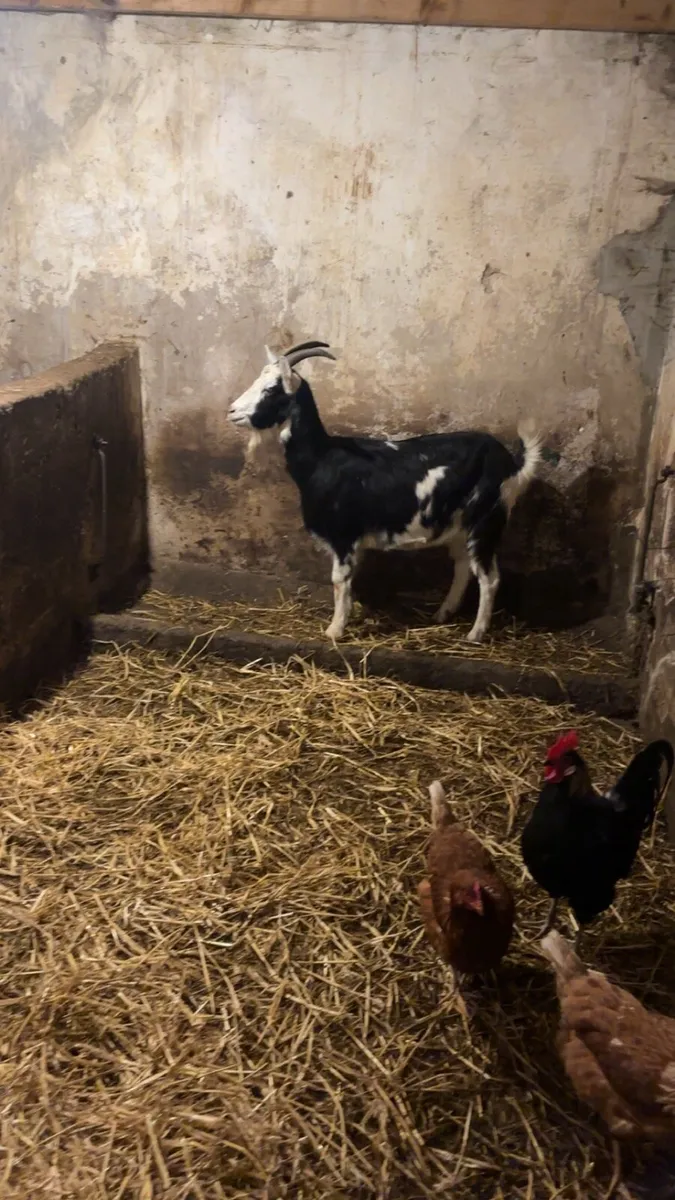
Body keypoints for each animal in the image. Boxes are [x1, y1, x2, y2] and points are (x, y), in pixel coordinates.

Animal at [228, 340, 541, 643]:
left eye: (271, 389)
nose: (231, 411)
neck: (321, 458)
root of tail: (512, 464)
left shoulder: (343, 534)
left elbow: (339, 580)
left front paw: (334, 631)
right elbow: (350, 581)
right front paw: (349, 617)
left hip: (485, 519)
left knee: (489, 577)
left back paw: (475, 633)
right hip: (458, 525)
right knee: (463, 565)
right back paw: (443, 613)